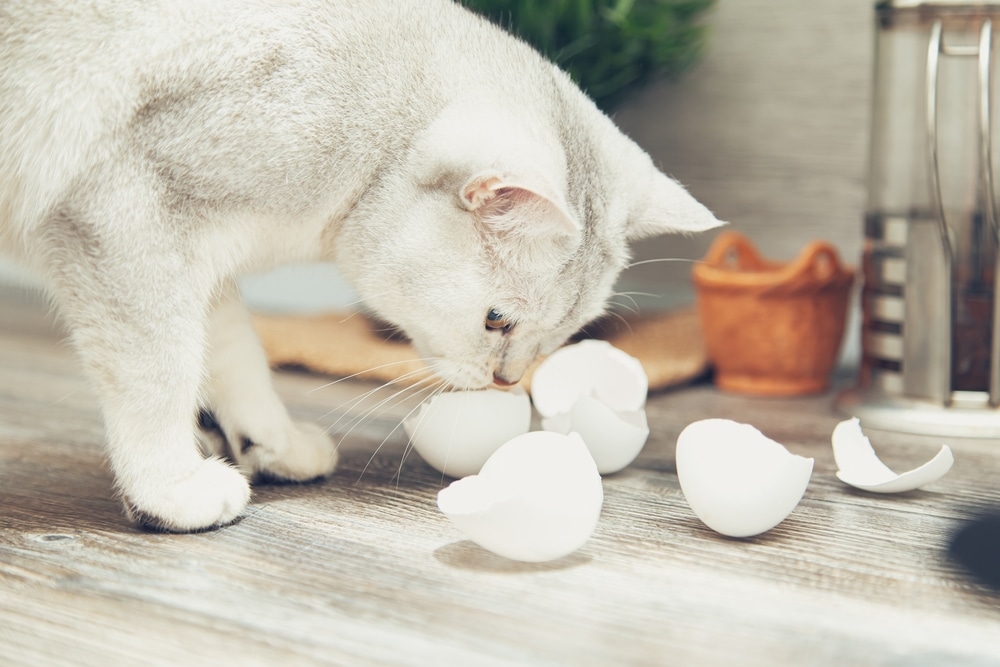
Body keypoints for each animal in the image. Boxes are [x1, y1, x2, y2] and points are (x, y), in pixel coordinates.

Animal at [0, 0, 724, 532]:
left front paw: (270, 440)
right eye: (496, 320)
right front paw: (169, 487)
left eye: (565, 336)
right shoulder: (128, 218)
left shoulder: (206, 257)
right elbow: (160, 369)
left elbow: (234, 352)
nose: (507, 382)